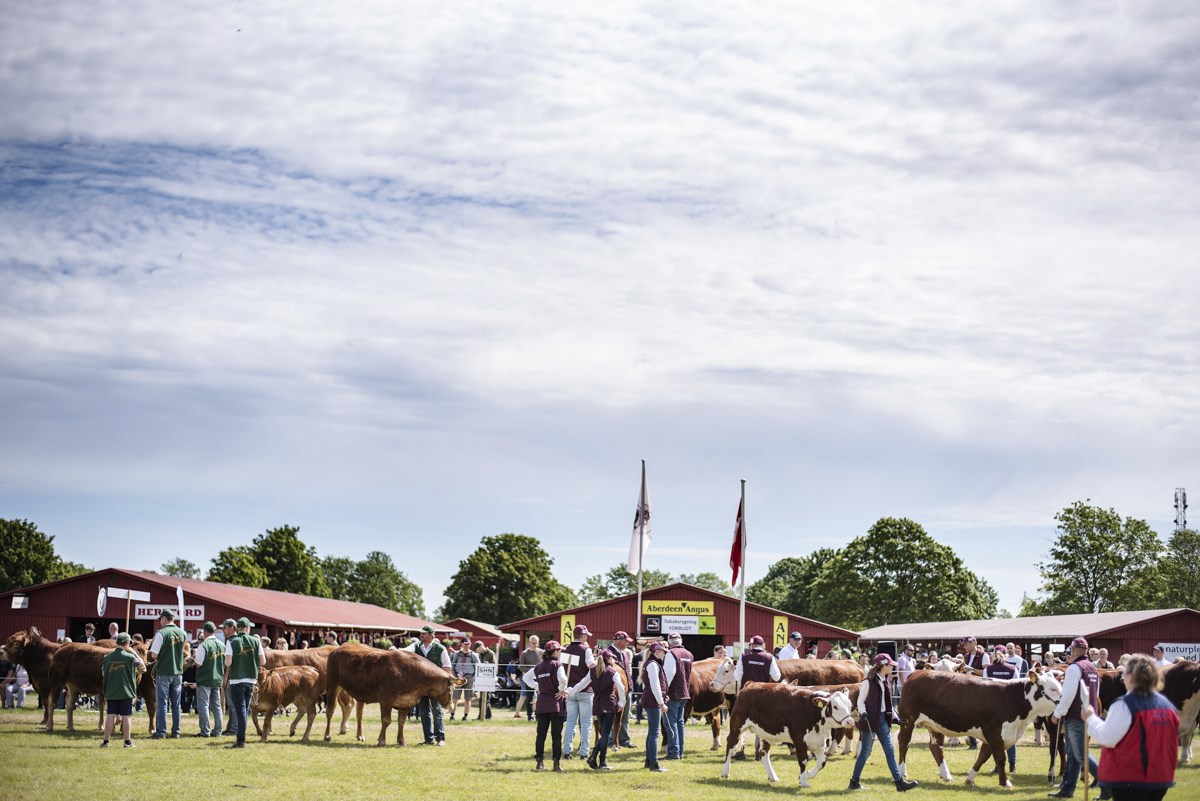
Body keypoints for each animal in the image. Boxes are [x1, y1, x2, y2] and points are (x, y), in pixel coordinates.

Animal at [324, 642, 463, 743]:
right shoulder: (386, 699)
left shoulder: (406, 701)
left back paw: (360, 736)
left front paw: (401, 741)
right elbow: (386, 720)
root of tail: (339, 648)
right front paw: (381, 740)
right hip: (332, 684)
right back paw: (327, 736)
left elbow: (401, 721)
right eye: (451, 688)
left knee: (359, 715)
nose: (451, 705)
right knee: (330, 711)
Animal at [715, 681, 859, 786]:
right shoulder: (799, 741)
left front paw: (808, 775)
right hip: (737, 726)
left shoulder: (818, 742)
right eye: (835, 707)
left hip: (766, 734)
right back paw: (725, 772)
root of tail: (751, 684)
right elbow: (803, 761)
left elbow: (822, 761)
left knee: (763, 753)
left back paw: (773, 776)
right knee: (730, 745)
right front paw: (804, 781)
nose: (850, 721)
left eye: (849, 705)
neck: (814, 712)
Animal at [897, 666, 1065, 786]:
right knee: (904, 742)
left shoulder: (995, 733)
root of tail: (918, 672)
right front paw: (1005, 782)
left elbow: (984, 756)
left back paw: (946, 776)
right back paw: (902, 772)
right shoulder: (993, 730)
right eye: (1053, 688)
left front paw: (970, 778)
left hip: (935, 724)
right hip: (908, 720)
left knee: (936, 747)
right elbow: (1000, 757)